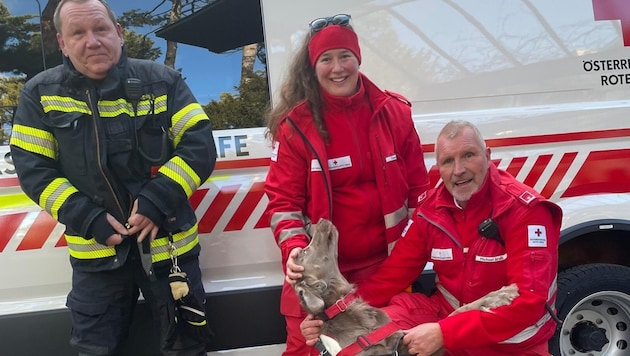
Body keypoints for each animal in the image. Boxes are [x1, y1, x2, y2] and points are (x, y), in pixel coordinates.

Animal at [294, 218, 520, 356]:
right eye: (304, 251)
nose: (319, 221)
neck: (341, 306)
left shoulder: (404, 338)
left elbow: (457, 312)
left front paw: (501, 293)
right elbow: (450, 318)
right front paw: (503, 294)